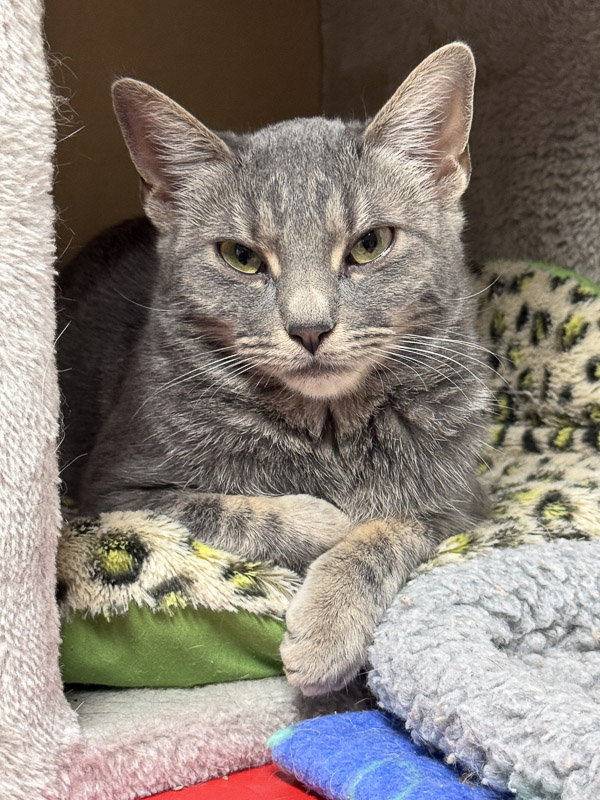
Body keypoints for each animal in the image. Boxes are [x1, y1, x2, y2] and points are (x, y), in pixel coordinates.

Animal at [56, 43, 490, 692]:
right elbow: (224, 508)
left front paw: (331, 620)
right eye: (240, 257)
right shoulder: (117, 489)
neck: (329, 427)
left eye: (370, 244)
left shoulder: (461, 501)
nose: (310, 329)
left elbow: (390, 530)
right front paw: (325, 522)